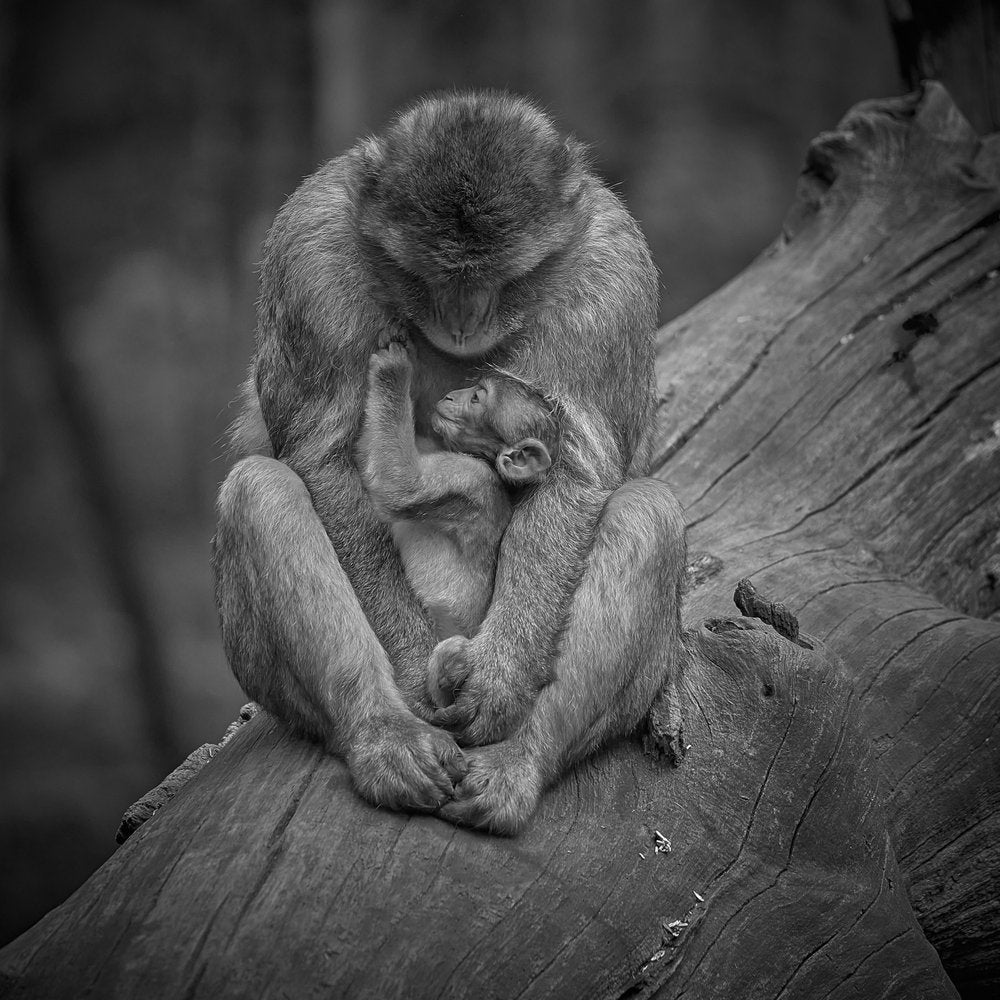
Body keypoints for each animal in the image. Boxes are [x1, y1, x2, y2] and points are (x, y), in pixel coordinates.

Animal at [357, 341, 556, 707]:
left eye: (477, 397)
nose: (451, 396)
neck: (486, 462)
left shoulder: (470, 478)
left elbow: (401, 486)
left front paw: (394, 373)